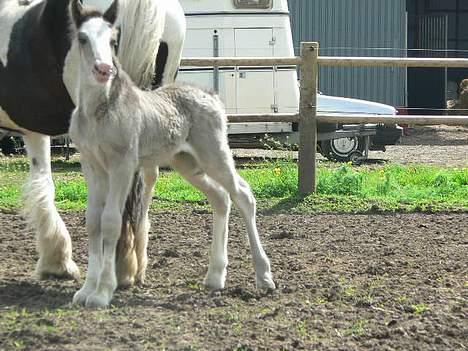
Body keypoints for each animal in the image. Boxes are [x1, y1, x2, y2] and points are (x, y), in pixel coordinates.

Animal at [69, 0, 274, 308]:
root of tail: (212, 96)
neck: (100, 111)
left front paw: (102, 293)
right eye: (82, 38)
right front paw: (85, 291)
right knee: (220, 197)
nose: (103, 69)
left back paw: (264, 277)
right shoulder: (91, 165)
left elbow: (111, 221)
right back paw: (215, 277)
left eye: (114, 40)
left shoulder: (123, 165)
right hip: (187, 163)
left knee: (243, 195)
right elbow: (93, 221)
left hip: (214, 155)